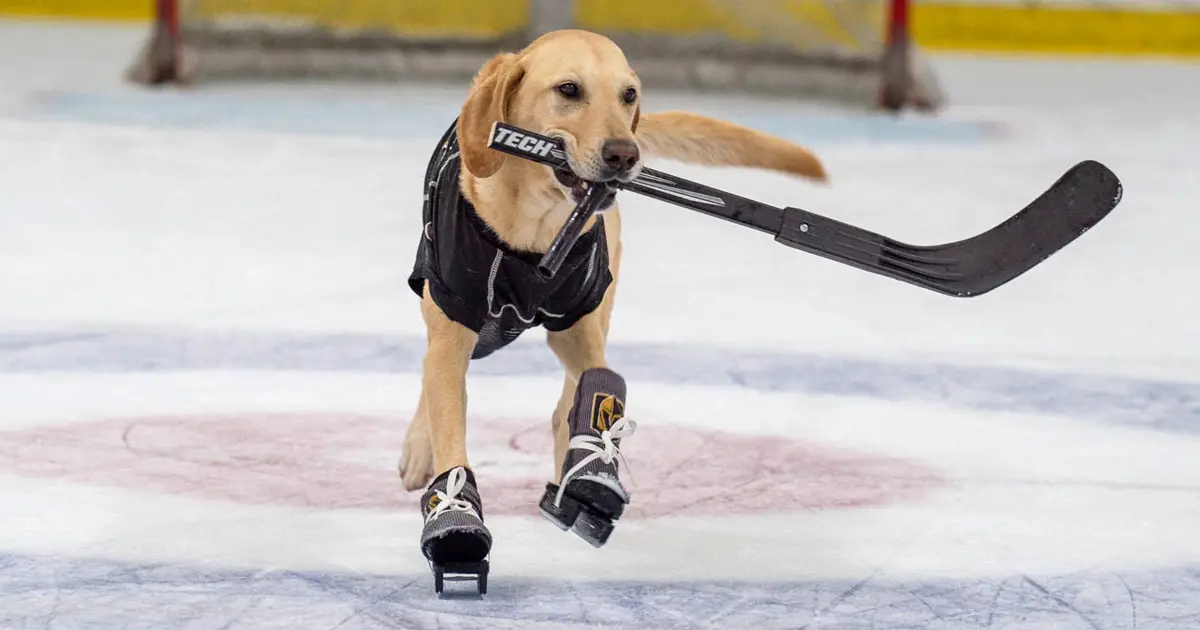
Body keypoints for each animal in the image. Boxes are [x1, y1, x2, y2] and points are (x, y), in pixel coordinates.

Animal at [398, 28, 820, 580]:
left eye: (629, 95)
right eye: (569, 89)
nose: (625, 154)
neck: (531, 235)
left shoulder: (578, 320)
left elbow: (599, 383)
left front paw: (592, 467)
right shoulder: (453, 321)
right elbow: (448, 420)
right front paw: (455, 517)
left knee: (564, 402)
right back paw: (419, 448)